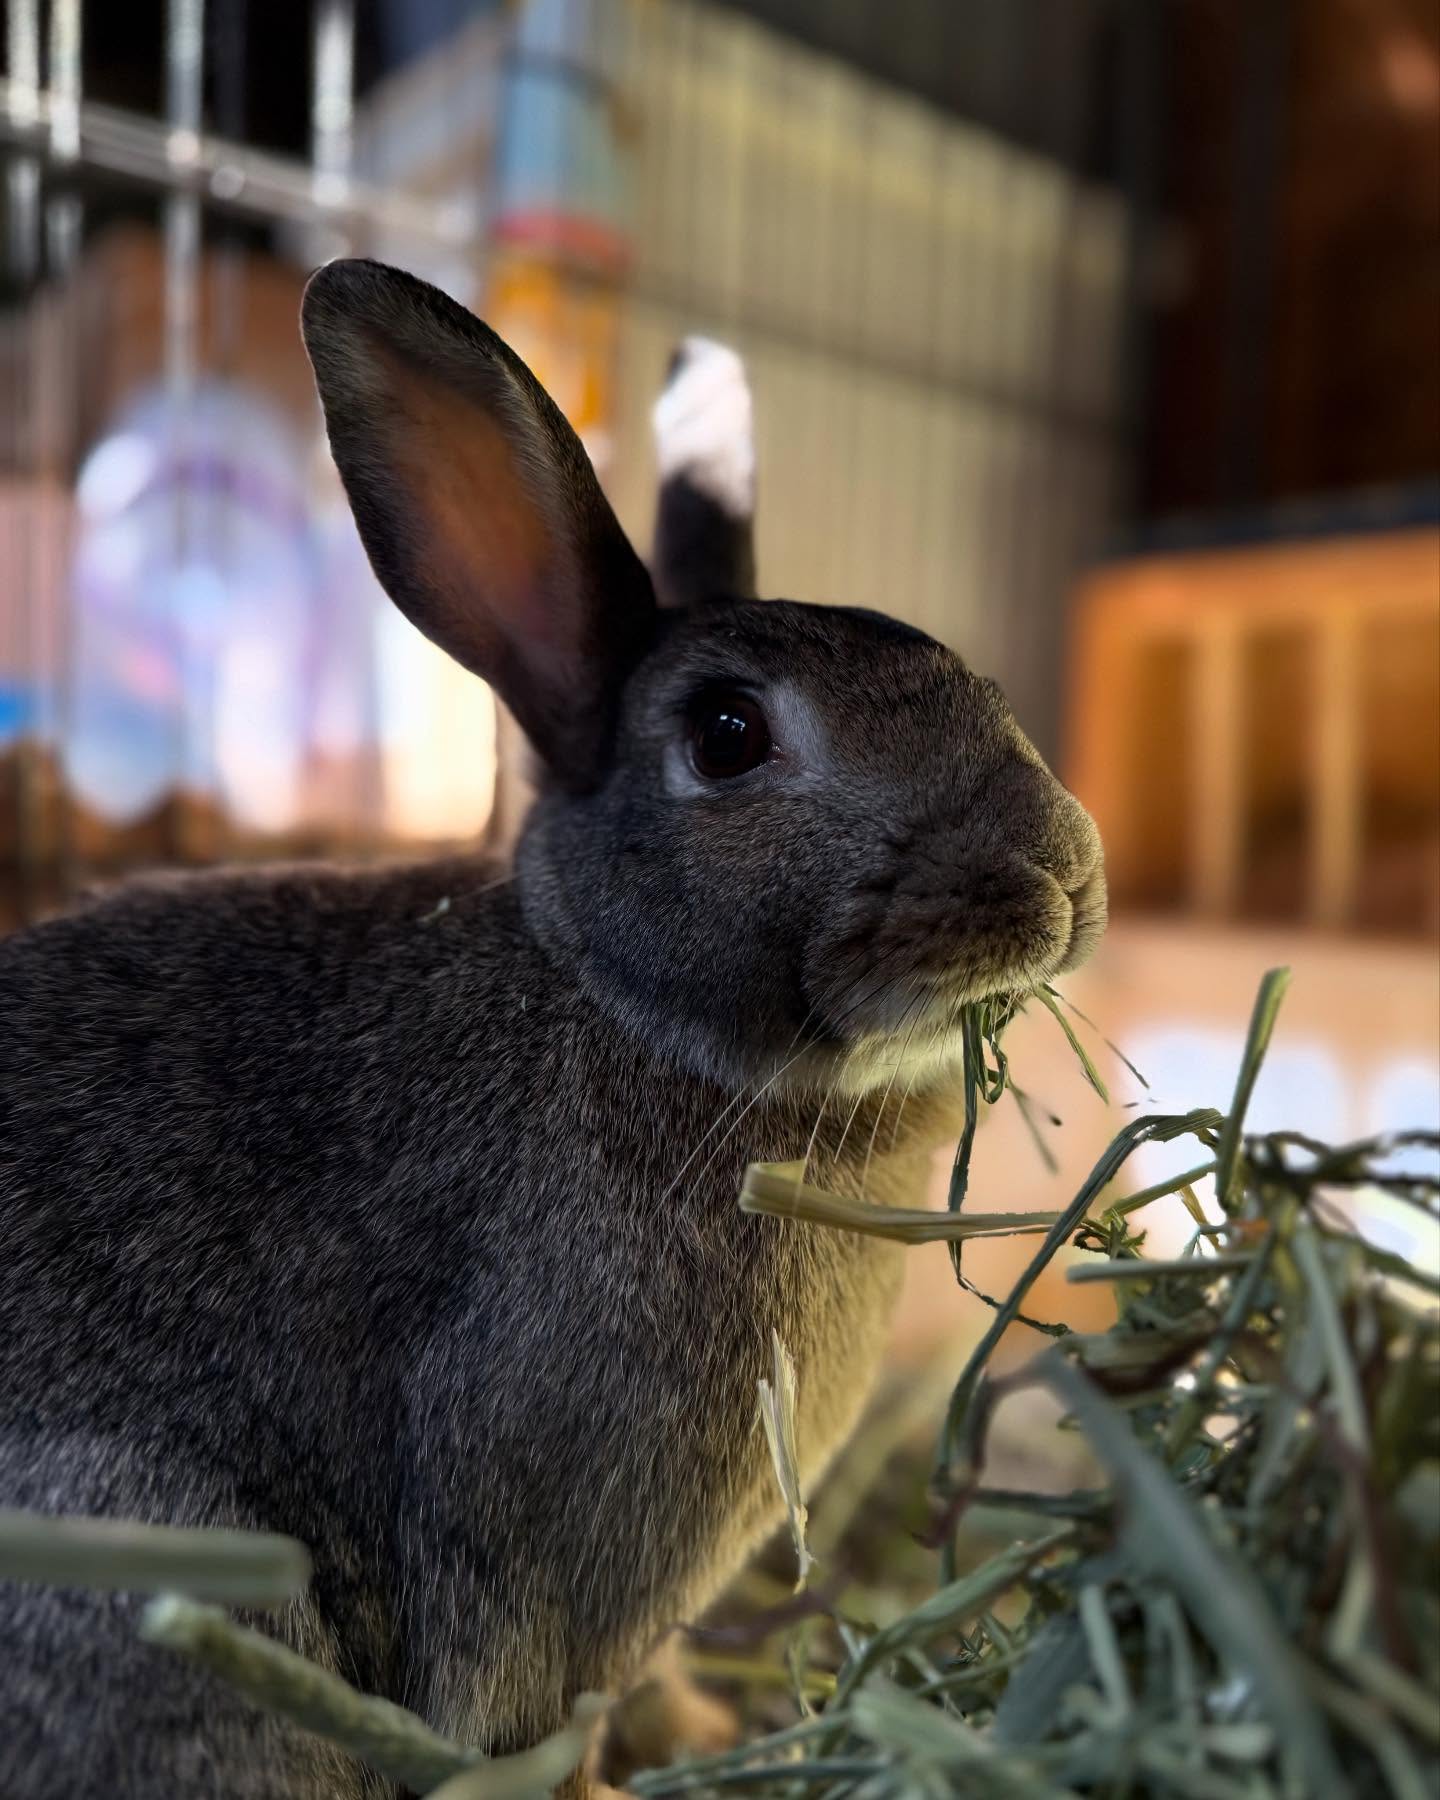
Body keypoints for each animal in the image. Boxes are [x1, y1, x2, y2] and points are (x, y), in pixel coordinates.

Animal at [0, 258, 1106, 1799]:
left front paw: (715, 1733)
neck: (617, 1005)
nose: (1058, 874)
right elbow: (544, 1714)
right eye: (727, 734)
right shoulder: (532, 1558)